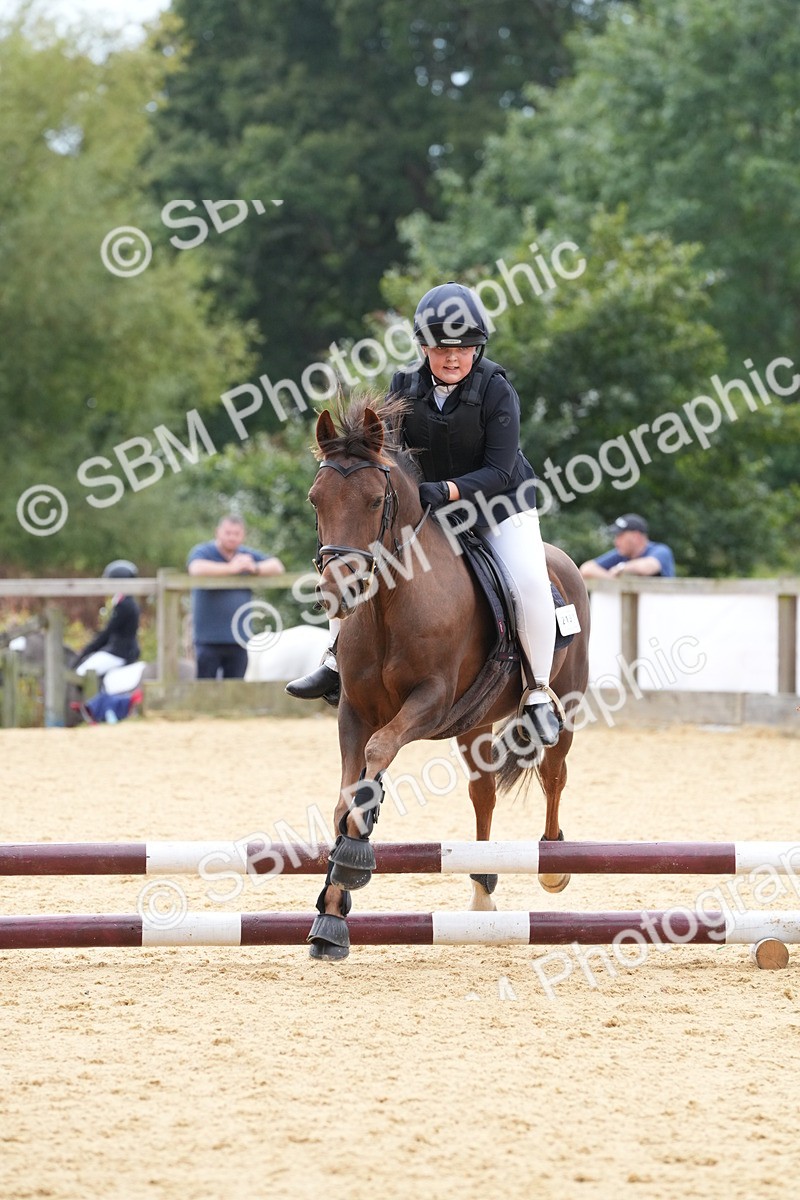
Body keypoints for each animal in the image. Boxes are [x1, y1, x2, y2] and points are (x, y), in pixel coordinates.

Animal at [305, 394, 590, 960]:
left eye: (375, 501)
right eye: (315, 500)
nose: (338, 592)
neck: (389, 605)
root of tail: (564, 563)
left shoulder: (431, 700)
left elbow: (379, 752)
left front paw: (352, 857)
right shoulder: (355, 710)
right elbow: (348, 793)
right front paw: (332, 914)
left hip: (565, 704)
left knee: (554, 773)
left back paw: (553, 867)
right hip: (474, 723)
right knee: (484, 793)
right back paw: (482, 892)